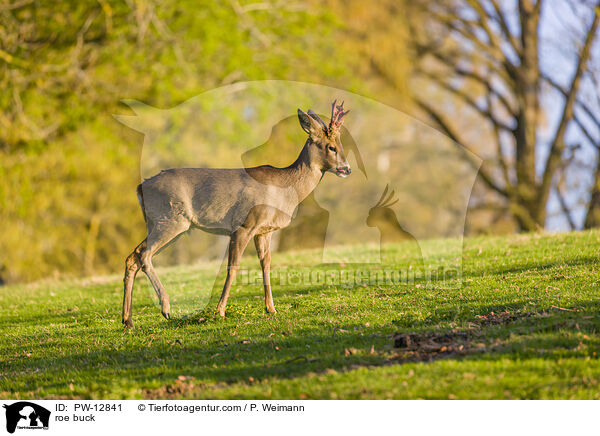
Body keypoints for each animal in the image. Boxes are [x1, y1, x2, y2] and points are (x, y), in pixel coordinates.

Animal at [122, 101, 352, 328]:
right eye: (331, 147)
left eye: (340, 145)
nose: (347, 169)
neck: (285, 189)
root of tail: (140, 187)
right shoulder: (244, 225)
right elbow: (233, 267)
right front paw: (220, 310)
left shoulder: (264, 231)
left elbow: (266, 264)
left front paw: (271, 309)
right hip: (171, 220)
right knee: (144, 255)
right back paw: (165, 308)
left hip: (160, 223)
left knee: (133, 256)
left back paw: (128, 320)